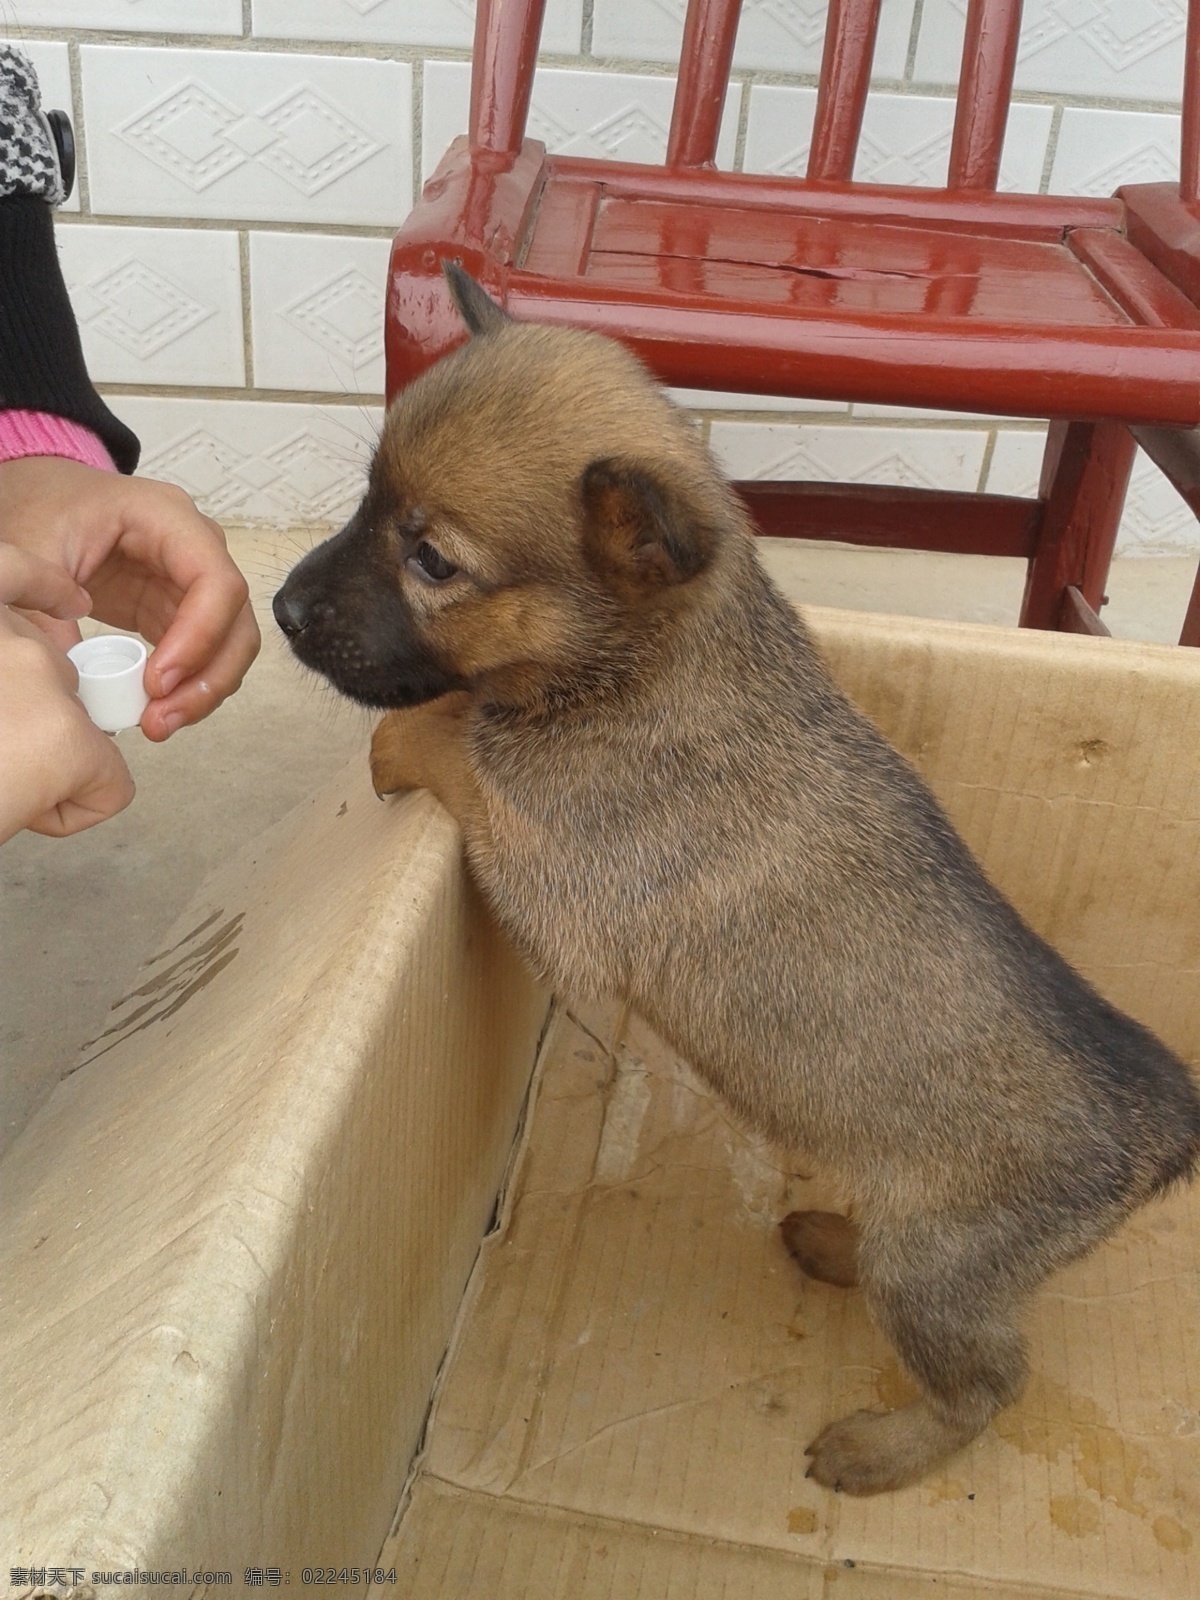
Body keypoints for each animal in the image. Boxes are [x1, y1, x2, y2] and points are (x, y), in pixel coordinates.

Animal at [275, 265, 1200, 1497]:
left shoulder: (560, 891)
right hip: (931, 1248)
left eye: (433, 561)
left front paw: (404, 742)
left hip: (941, 1272)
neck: (643, 669)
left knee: (993, 1383)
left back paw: (881, 1447)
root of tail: (1162, 1120)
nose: (279, 609)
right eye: (368, 505)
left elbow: (458, 746)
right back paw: (832, 1241)